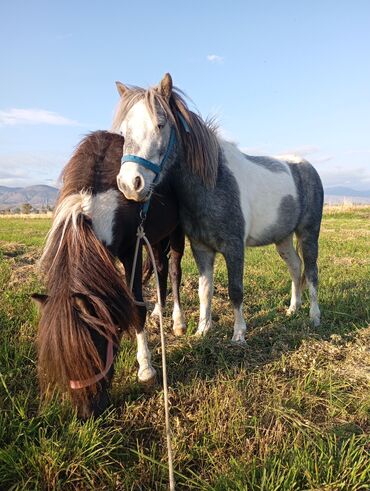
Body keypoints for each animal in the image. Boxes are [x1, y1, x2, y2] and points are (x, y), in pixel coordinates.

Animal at [32, 131, 185, 418]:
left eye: (94, 351)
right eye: (62, 361)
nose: (87, 414)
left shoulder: (131, 249)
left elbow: (136, 307)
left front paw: (146, 369)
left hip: (176, 231)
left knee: (173, 270)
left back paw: (178, 321)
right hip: (156, 237)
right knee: (160, 268)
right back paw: (159, 310)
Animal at [112, 73, 324, 344]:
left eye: (160, 124)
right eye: (124, 131)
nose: (130, 184)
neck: (214, 182)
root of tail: (307, 167)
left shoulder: (234, 248)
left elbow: (236, 290)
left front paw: (239, 334)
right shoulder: (201, 249)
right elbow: (205, 290)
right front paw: (203, 330)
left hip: (308, 233)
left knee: (312, 271)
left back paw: (314, 317)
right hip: (283, 238)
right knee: (296, 267)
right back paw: (292, 309)